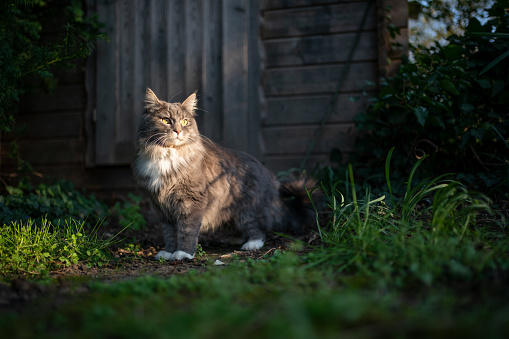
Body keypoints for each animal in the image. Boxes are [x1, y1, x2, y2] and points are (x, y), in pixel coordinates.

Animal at [130, 89, 318, 262]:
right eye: (165, 120)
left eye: (184, 121)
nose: (177, 131)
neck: (167, 156)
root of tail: (271, 178)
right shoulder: (161, 206)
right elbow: (169, 234)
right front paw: (168, 252)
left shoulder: (191, 201)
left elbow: (186, 230)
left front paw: (183, 253)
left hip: (247, 210)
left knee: (258, 229)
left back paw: (251, 244)